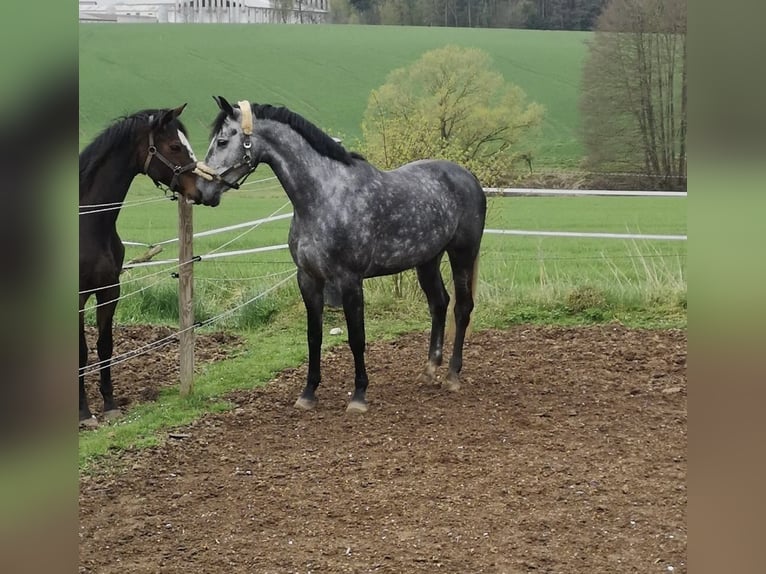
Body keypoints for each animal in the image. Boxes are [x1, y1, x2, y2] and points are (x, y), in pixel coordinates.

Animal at [79, 104, 208, 427]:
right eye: (174, 146)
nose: (201, 189)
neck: (88, 223)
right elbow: (81, 352)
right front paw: (83, 412)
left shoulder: (109, 290)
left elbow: (105, 346)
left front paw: (110, 405)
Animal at [197, 96, 487, 413]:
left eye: (222, 141)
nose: (201, 191)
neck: (324, 197)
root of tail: (469, 178)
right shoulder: (308, 279)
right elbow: (314, 337)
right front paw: (308, 393)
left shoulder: (350, 280)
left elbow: (356, 338)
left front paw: (359, 396)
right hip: (427, 260)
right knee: (439, 304)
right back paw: (429, 371)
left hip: (462, 253)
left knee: (462, 308)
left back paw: (452, 376)